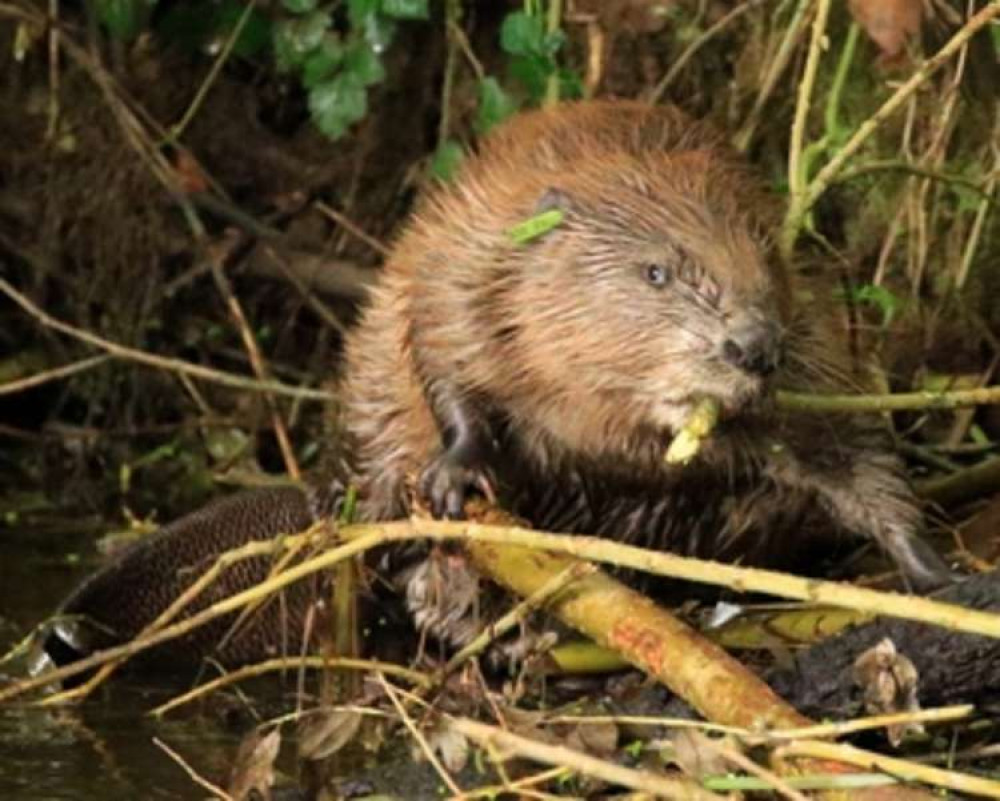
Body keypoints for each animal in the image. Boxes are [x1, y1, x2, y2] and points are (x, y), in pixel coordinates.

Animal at [39, 98, 948, 676]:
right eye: (658, 271)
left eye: (764, 249)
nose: (753, 345)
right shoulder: (472, 255)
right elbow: (440, 346)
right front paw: (458, 470)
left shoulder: (816, 336)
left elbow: (848, 450)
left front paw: (932, 570)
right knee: (433, 579)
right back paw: (509, 636)